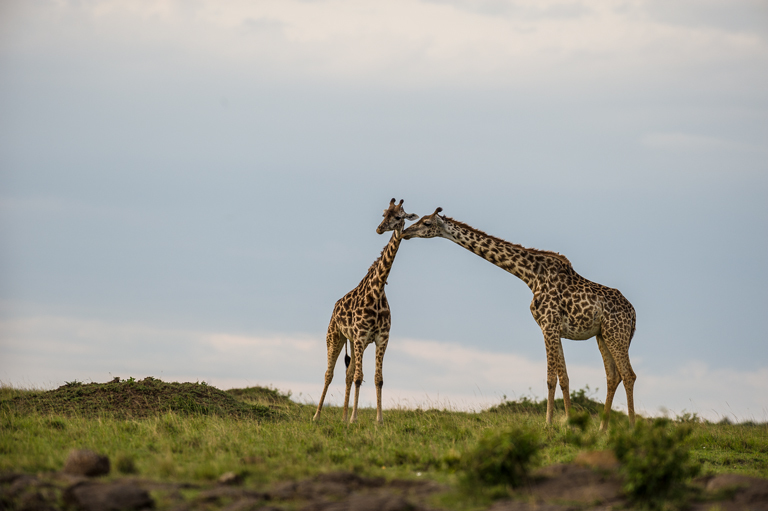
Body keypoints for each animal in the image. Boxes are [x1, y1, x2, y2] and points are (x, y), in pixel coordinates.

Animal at [314, 197, 420, 424]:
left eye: (398, 216)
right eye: (384, 214)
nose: (379, 229)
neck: (377, 291)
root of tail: (335, 306)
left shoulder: (381, 338)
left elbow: (377, 379)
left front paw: (378, 420)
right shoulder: (362, 337)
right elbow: (359, 377)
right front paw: (355, 419)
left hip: (352, 342)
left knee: (347, 374)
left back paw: (343, 418)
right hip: (335, 336)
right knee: (329, 374)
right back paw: (317, 416)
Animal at [402, 209, 636, 432]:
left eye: (426, 223)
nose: (405, 232)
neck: (531, 276)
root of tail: (634, 315)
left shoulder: (548, 326)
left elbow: (551, 378)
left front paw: (549, 424)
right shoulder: (554, 329)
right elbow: (565, 378)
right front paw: (570, 423)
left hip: (617, 335)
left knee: (628, 375)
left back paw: (632, 428)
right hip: (602, 336)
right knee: (613, 377)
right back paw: (602, 429)